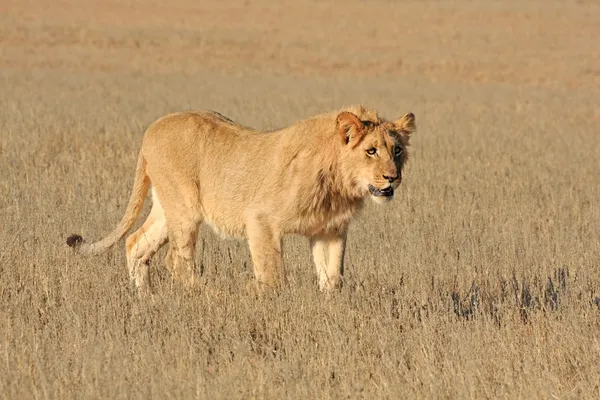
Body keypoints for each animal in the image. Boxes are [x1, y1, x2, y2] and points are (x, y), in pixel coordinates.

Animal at [64, 106, 412, 292]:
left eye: (396, 150)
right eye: (371, 151)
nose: (392, 178)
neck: (339, 184)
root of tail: (153, 127)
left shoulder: (329, 230)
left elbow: (332, 278)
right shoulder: (260, 219)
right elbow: (271, 276)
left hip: (168, 206)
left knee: (135, 243)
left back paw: (144, 301)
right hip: (186, 209)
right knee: (177, 261)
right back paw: (201, 298)